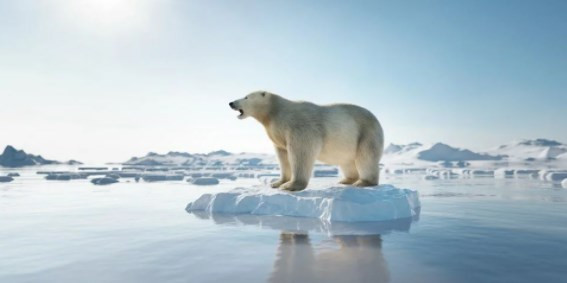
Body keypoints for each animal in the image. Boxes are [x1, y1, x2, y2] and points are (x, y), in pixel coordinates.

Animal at [229, 92, 384, 192]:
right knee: (347, 161)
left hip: (366, 133)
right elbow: (283, 156)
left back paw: (363, 182)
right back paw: (346, 180)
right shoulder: (278, 134)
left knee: (365, 157)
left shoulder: (299, 126)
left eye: (246, 96)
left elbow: (301, 152)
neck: (275, 112)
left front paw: (291, 186)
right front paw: (277, 182)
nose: (231, 103)